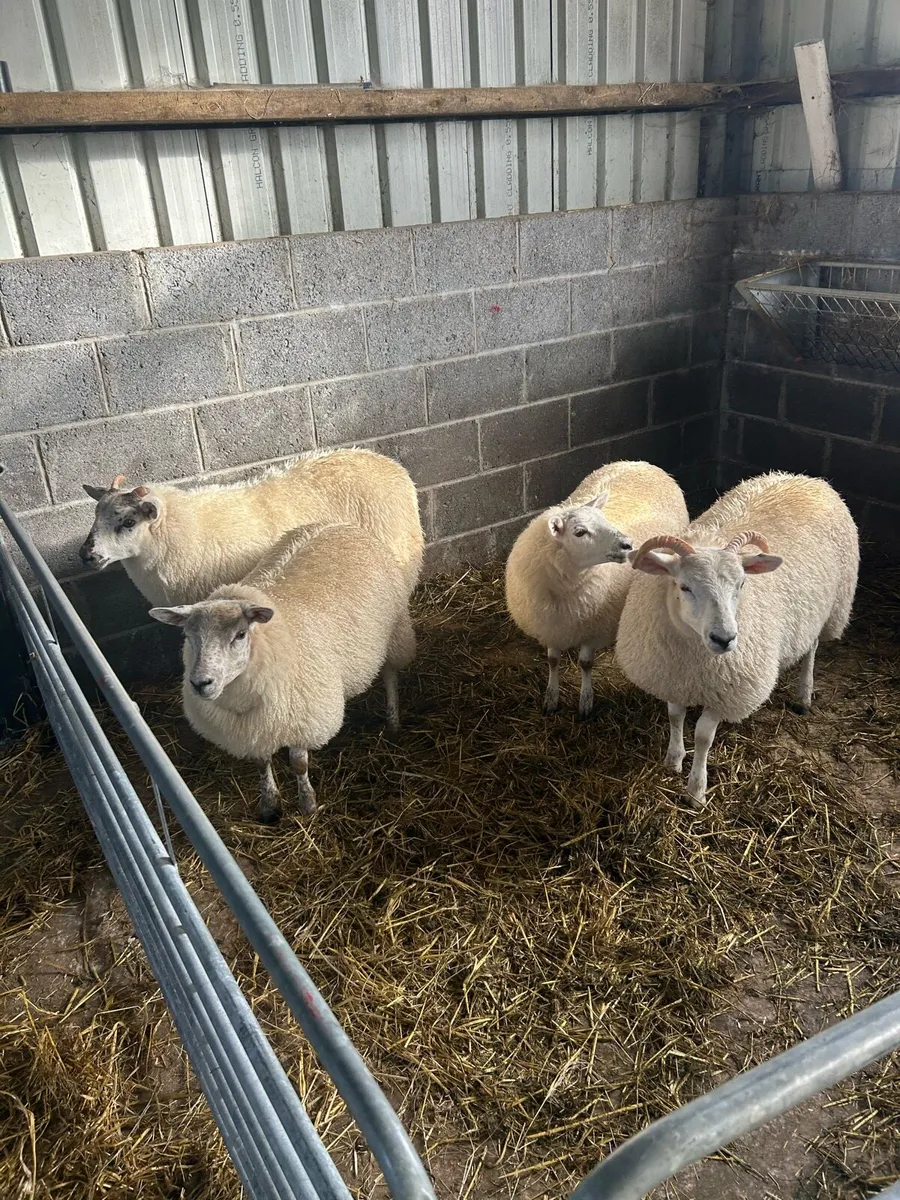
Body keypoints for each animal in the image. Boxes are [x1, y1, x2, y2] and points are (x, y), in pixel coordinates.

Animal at [149, 522, 416, 823]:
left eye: (240, 634)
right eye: (188, 636)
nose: (200, 683)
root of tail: (338, 524)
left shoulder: (301, 716)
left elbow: (299, 765)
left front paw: (308, 804)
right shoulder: (255, 728)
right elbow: (261, 763)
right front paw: (269, 805)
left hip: (395, 632)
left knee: (390, 675)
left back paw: (393, 723)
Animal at [505, 460, 689, 718]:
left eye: (606, 521)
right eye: (579, 532)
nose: (627, 544)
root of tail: (640, 463)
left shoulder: (594, 627)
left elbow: (585, 664)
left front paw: (585, 701)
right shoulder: (550, 624)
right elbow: (552, 660)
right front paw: (551, 697)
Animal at [615, 471, 859, 805]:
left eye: (742, 584)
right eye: (684, 586)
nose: (725, 638)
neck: (694, 651)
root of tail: (808, 479)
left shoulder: (728, 690)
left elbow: (703, 736)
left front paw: (696, 790)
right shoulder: (672, 675)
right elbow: (675, 716)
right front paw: (674, 760)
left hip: (828, 608)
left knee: (811, 649)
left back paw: (803, 696)